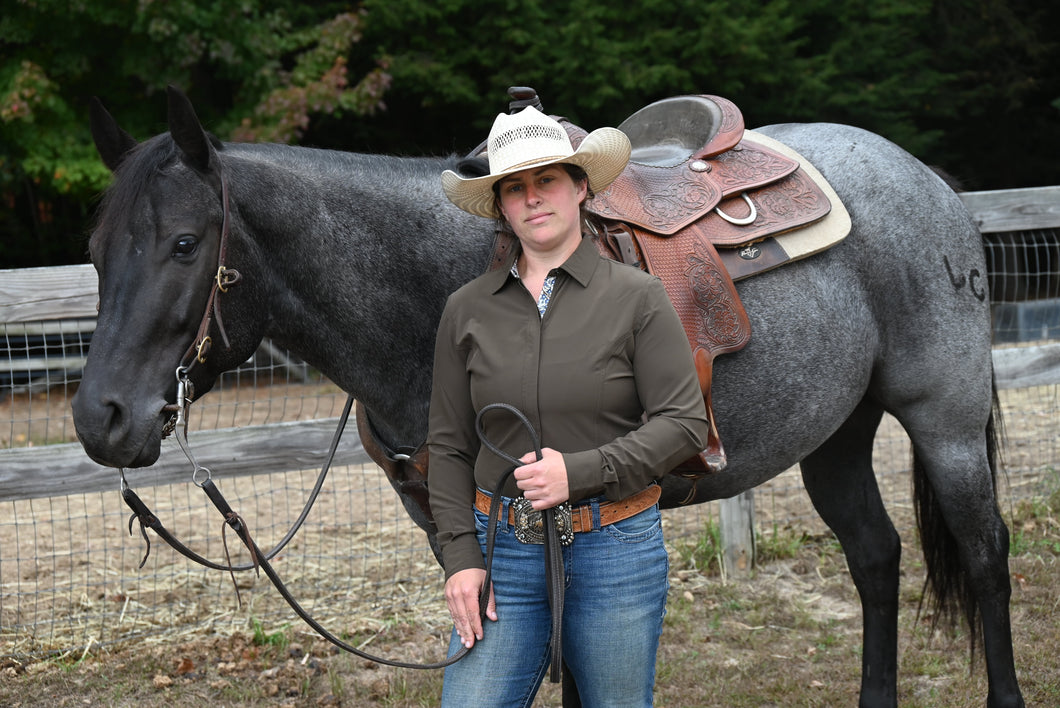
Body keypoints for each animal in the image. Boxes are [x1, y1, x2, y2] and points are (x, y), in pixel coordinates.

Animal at [70, 85, 1021, 703]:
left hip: (945, 421)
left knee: (985, 556)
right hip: (836, 433)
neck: (432, 286)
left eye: (185, 243)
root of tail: (928, 181)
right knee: (876, 558)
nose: (100, 417)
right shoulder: (461, 529)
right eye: (95, 247)